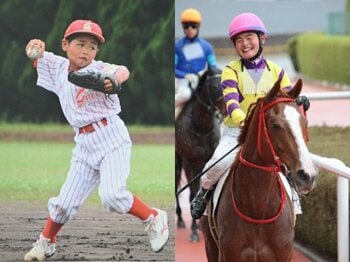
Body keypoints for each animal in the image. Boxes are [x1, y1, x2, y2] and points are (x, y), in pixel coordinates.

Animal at [175, 67, 224, 242]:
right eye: (215, 86)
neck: (201, 127)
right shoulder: (190, 162)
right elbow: (192, 192)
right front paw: (194, 231)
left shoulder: (208, 160)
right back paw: (181, 220)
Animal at [201, 79, 318, 262]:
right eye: (275, 125)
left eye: (304, 123)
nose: (307, 175)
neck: (258, 211)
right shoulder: (227, 254)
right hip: (210, 246)